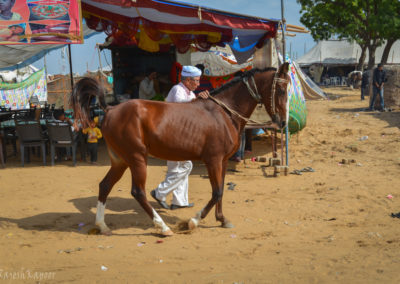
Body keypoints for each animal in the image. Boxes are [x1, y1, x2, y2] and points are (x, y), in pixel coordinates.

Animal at [72, 63, 290, 236]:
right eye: (281, 89)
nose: (282, 122)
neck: (224, 113)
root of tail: (110, 110)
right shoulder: (213, 160)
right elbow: (217, 192)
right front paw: (193, 221)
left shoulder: (223, 160)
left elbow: (221, 191)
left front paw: (222, 219)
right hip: (137, 158)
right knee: (138, 192)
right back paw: (163, 227)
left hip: (120, 160)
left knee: (105, 186)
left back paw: (102, 225)